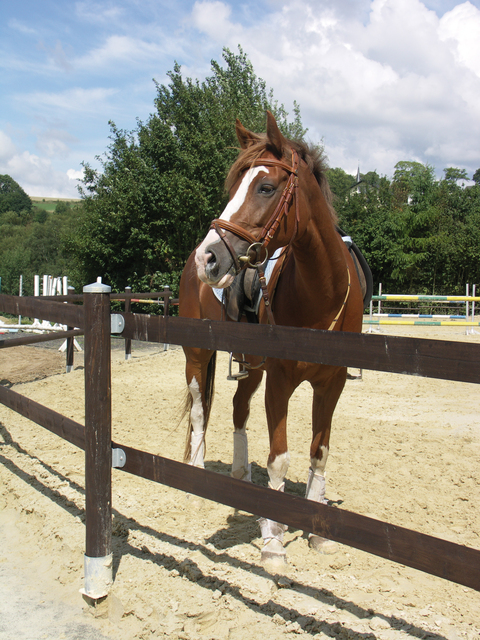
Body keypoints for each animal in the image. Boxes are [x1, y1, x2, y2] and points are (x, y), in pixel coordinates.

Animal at [179, 111, 370, 563]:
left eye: (266, 187)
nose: (209, 258)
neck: (321, 295)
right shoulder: (280, 381)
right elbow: (279, 458)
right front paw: (273, 542)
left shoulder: (331, 384)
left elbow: (319, 452)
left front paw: (317, 532)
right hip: (197, 354)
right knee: (200, 411)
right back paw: (198, 478)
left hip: (252, 366)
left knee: (237, 408)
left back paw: (241, 478)